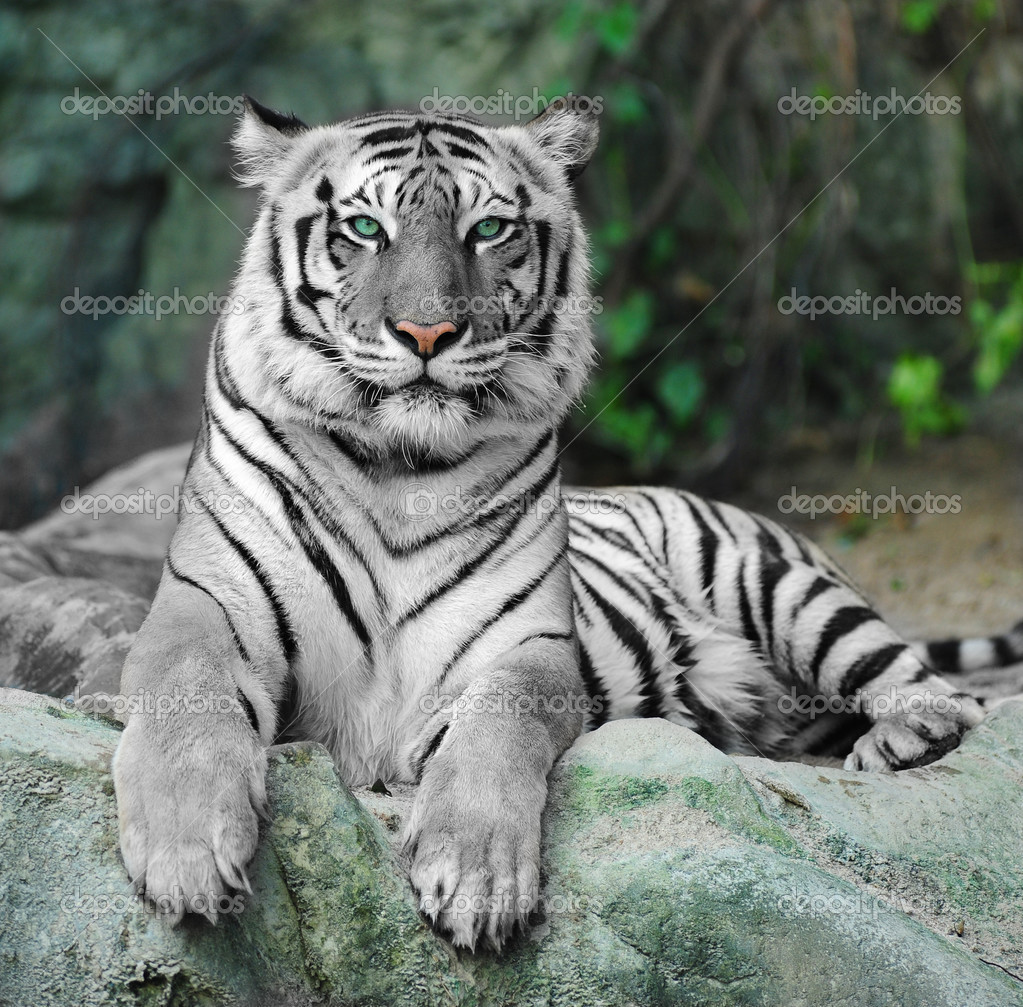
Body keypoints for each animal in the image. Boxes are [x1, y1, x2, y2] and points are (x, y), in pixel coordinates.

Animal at [111, 95, 1023, 952]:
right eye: (365, 228)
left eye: (488, 230)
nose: (428, 331)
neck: (398, 470)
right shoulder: (202, 604)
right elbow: (184, 698)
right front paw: (186, 855)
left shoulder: (526, 645)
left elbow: (494, 732)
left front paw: (476, 878)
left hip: (780, 587)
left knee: (942, 693)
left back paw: (903, 739)